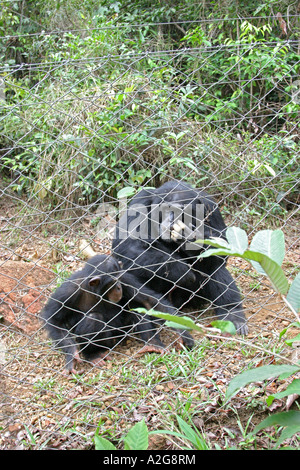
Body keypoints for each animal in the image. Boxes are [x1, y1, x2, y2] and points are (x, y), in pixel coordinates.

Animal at [41, 252, 191, 372]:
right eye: (112, 282)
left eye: (118, 279)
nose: (119, 287)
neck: (97, 292)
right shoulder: (68, 290)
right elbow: (53, 319)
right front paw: (71, 355)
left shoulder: (126, 278)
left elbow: (149, 300)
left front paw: (183, 334)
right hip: (108, 341)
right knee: (93, 318)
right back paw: (93, 355)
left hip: (123, 332)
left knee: (136, 307)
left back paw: (152, 343)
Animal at [112, 178, 248, 336]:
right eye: (166, 209)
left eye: (180, 212)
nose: (171, 221)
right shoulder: (140, 201)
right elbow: (127, 245)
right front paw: (183, 271)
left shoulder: (211, 206)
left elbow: (222, 243)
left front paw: (190, 239)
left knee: (214, 267)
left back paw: (233, 313)